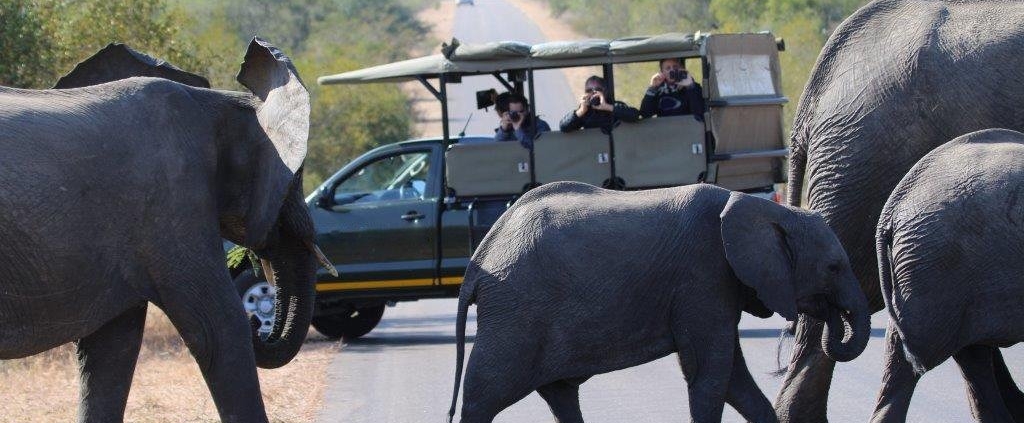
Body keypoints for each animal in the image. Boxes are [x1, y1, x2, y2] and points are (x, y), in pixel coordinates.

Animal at [0, 37, 331, 419]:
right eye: (295, 180)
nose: (258, 325)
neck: (215, 103)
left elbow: (112, 351)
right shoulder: (175, 202)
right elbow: (219, 328)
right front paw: (240, 324)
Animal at [444, 182, 868, 421]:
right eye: (834, 267)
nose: (834, 317)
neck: (770, 209)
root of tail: (480, 258)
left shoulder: (715, 286)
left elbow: (734, 380)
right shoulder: (703, 277)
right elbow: (711, 375)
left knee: (560, 394)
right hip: (516, 313)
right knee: (483, 395)